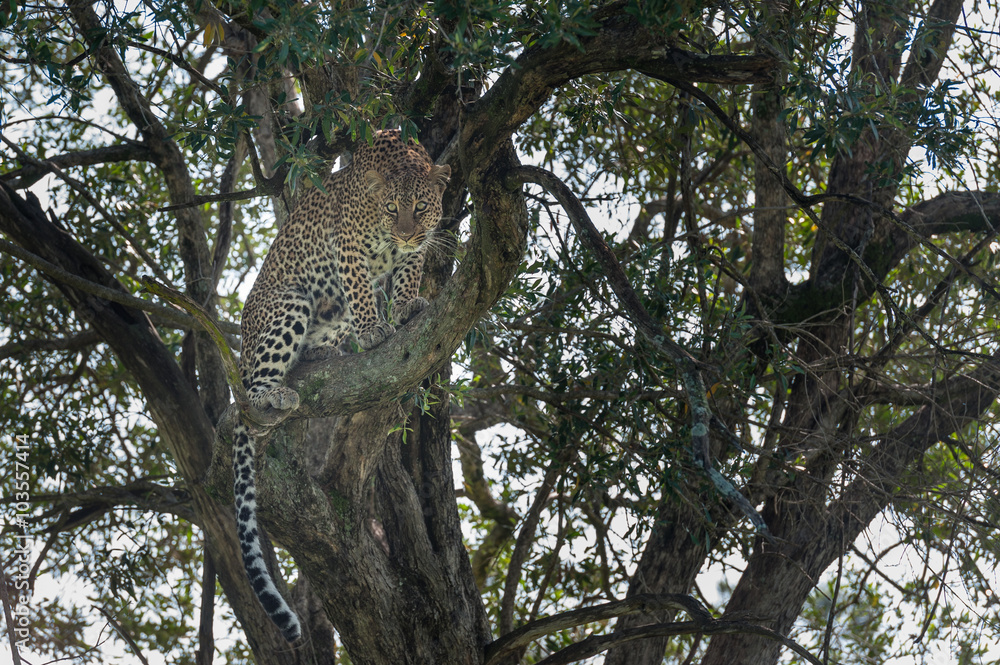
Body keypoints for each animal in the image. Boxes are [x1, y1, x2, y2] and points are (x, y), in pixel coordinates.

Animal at [232, 129, 451, 642]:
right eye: (392, 208)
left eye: (421, 208)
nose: (406, 233)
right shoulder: (348, 246)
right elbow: (360, 287)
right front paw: (373, 330)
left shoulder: (414, 252)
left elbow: (407, 275)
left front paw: (406, 306)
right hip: (288, 303)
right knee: (252, 392)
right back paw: (274, 393)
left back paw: (324, 353)